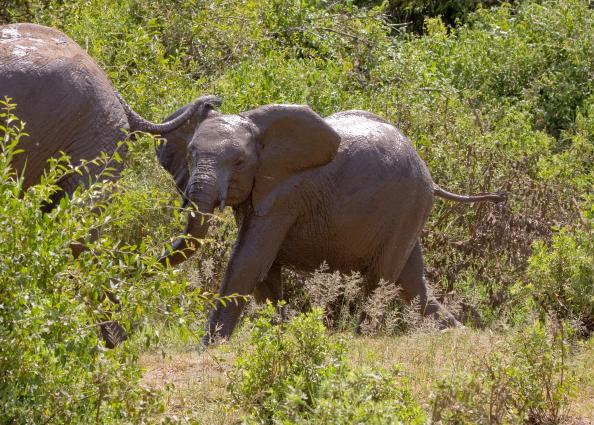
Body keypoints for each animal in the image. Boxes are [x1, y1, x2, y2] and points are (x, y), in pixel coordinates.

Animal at [157, 100, 504, 344]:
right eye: (190, 154)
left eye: (239, 162)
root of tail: (428, 174)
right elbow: (264, 272)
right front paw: (281, 335)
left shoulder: (286, 194)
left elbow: (248, 261)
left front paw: (207, 347)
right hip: (409, 209)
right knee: (412, 282)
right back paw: (460, 334)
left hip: (408, 204)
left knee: (382, 278)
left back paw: (362, 338)